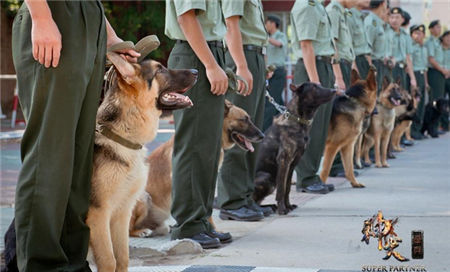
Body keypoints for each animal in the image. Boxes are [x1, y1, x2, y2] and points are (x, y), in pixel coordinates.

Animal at [128, 100, 266, 238]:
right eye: (244, 119)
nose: (262, 136)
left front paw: (212, 231)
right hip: (143, 197)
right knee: (128, 229)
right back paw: (140, 231)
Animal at [251, 83, 336, 215]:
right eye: (314, 87)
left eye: (319, 85)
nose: (334, 90)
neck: (298, 119)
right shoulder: (284, 161)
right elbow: (281, 189)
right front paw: (282, 209)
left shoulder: (292, 164)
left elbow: (287, 188)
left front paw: (288, 206)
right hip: (266, 177)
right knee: (253, 201)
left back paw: (269, 207)